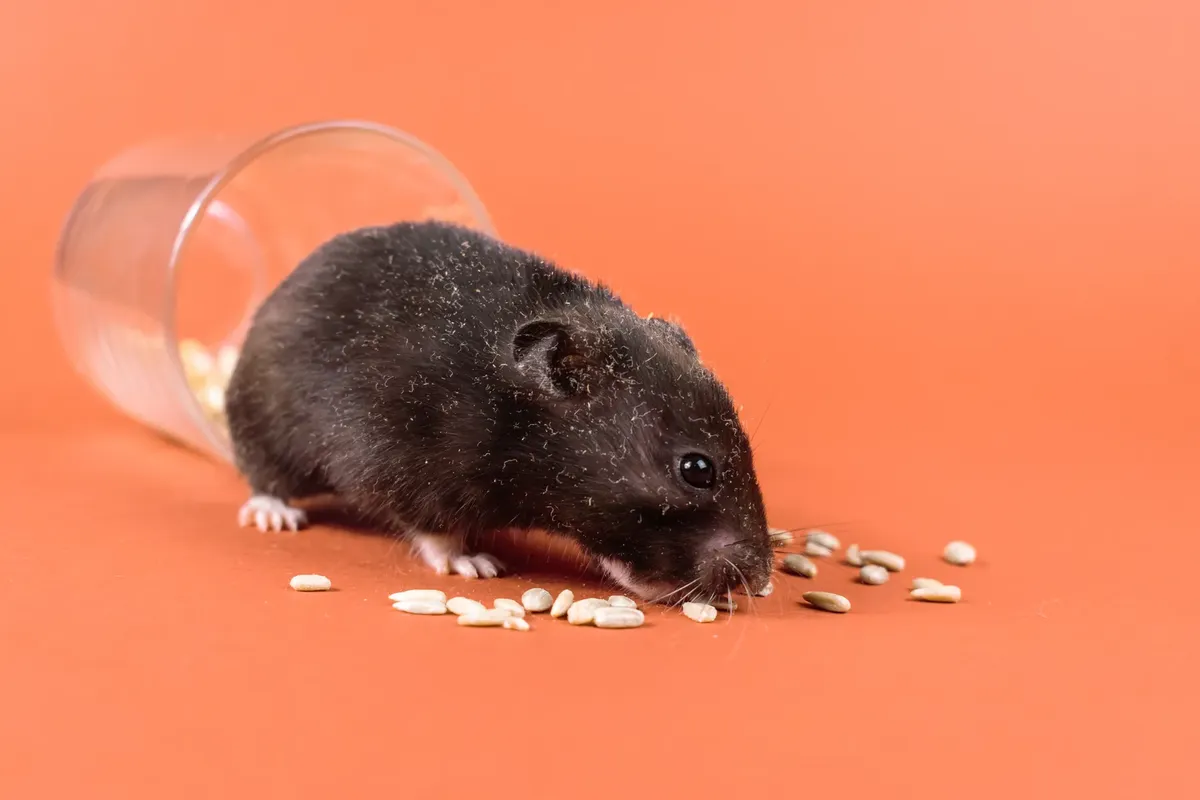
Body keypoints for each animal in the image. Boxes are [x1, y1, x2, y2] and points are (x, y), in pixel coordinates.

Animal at [225, 221, 773, 601]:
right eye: (697, 469)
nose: (762, 578)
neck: (513, 420)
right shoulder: (406, 467)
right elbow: (436, 531)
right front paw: (477, 565)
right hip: (266, 424)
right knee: (263, 476)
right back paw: (276, 516)